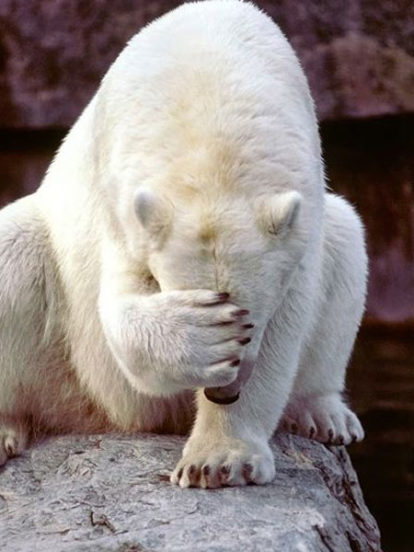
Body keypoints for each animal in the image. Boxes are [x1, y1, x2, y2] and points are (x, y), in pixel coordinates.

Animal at [0, 0, 366, 488]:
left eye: (252, 320)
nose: (224, 392)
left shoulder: (301, 215)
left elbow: (289, 320)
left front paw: (220, 461)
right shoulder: (121, 200)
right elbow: (119, 307)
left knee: (346, 242)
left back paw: (324, 414)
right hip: (64, 363)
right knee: (14, 254)